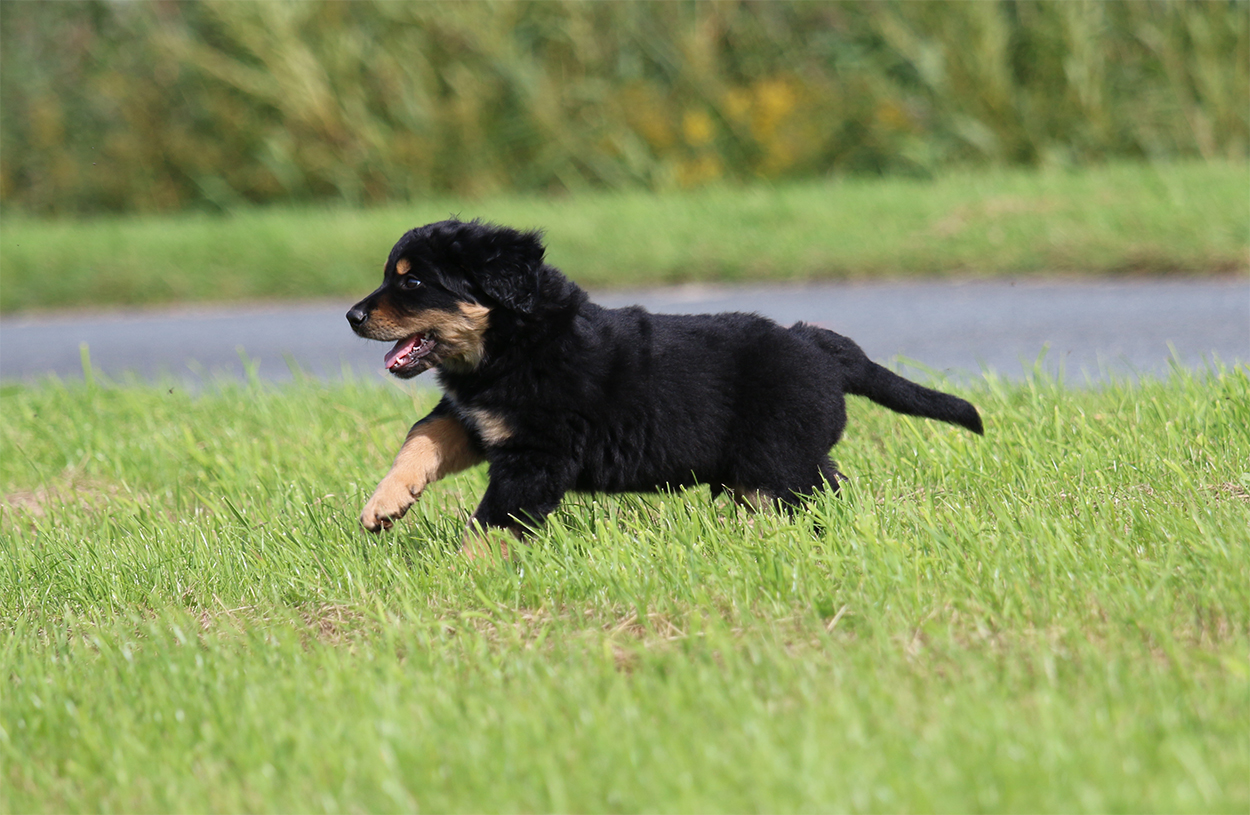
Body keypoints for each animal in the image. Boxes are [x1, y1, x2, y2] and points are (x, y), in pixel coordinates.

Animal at [347, 219, 983, 552]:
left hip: (775, 460)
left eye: (413, 282)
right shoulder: (479, 422)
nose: (351, 316)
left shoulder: (536, 452)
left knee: (802, 498)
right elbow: (422, 434)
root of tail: (819, 342)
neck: (511, 345)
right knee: (824, 487)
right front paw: (385, 504)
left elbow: (495, 519)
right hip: (774, 461)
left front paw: (464, 566)